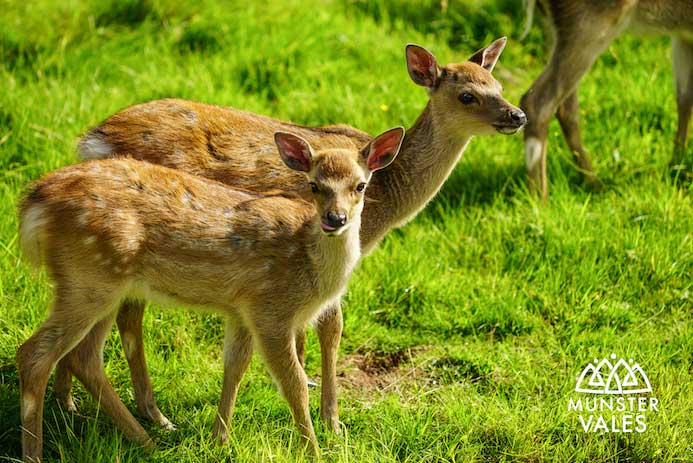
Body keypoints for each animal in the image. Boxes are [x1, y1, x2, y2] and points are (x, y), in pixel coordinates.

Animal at [520, 0, 688, 198]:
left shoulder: (682, 35)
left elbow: (684, 98)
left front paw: (677, 164)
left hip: (554, 28)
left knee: (565, 108)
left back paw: (595, 185)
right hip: (590, 22)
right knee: (538, 102)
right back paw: (540, 198)